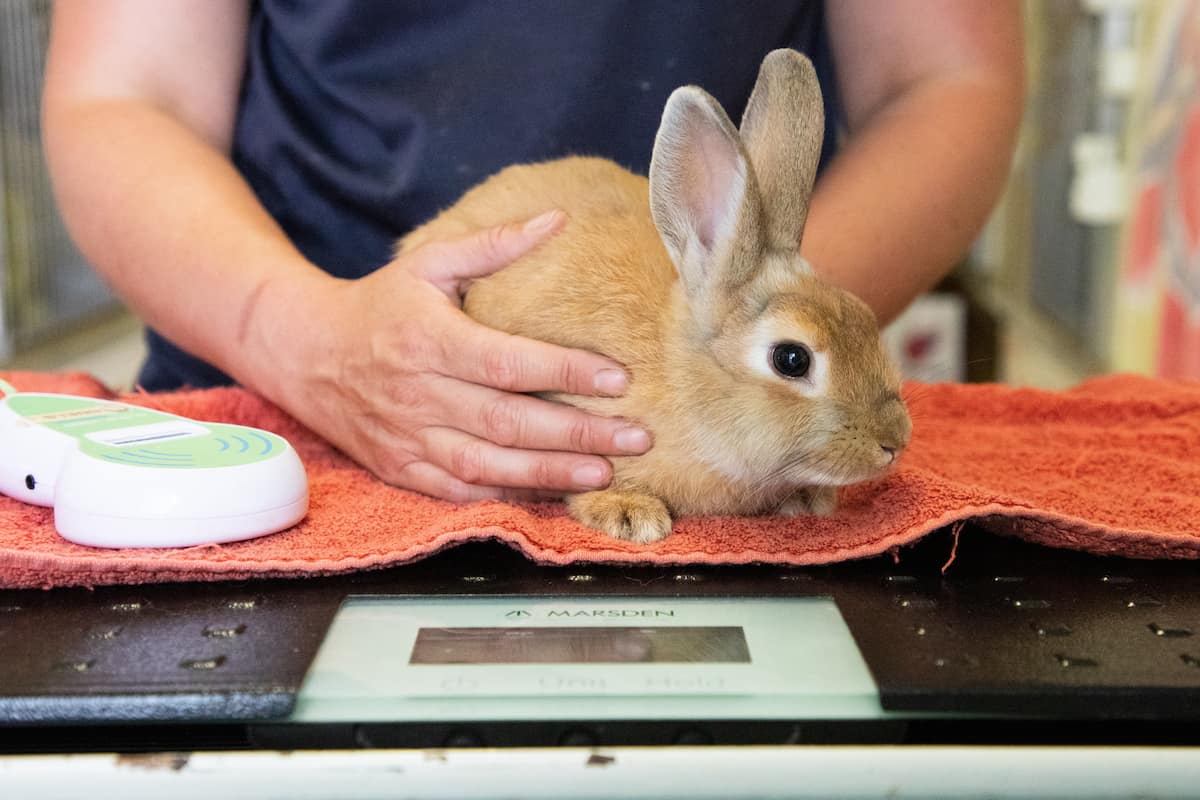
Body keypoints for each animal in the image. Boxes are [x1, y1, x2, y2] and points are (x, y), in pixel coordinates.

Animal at [398, 49, 911, 543]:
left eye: (866, 317)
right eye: (791, 359)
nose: (894, 441)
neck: (677, 372)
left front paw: (808, 499)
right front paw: (629, 513)